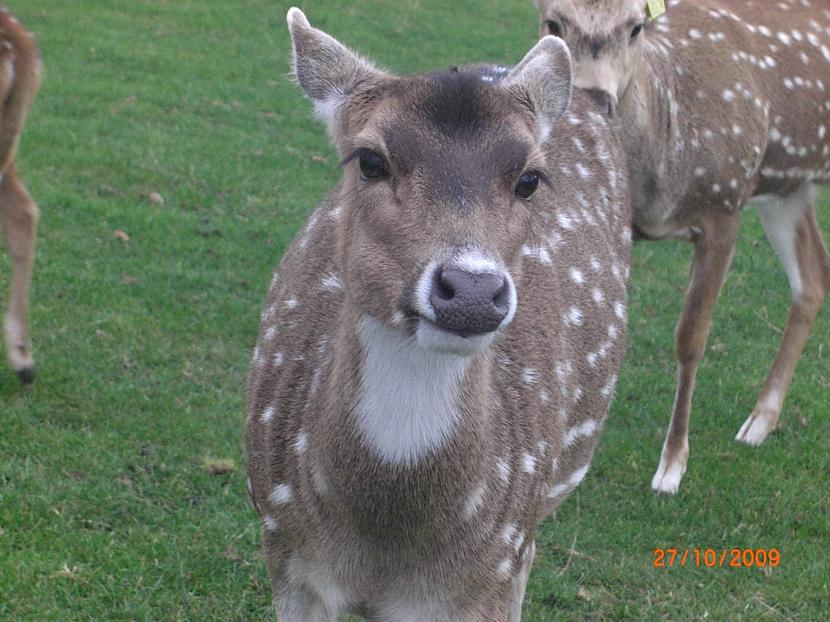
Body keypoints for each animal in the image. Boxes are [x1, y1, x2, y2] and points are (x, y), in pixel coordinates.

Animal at [532, 1, 830, 498]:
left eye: (636, 26)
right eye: (553, 21)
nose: (596, 98)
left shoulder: (726, 204)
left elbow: (691, 338)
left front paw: (672, 465)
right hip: (787, 185)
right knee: (812, 277)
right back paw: (760, 421)